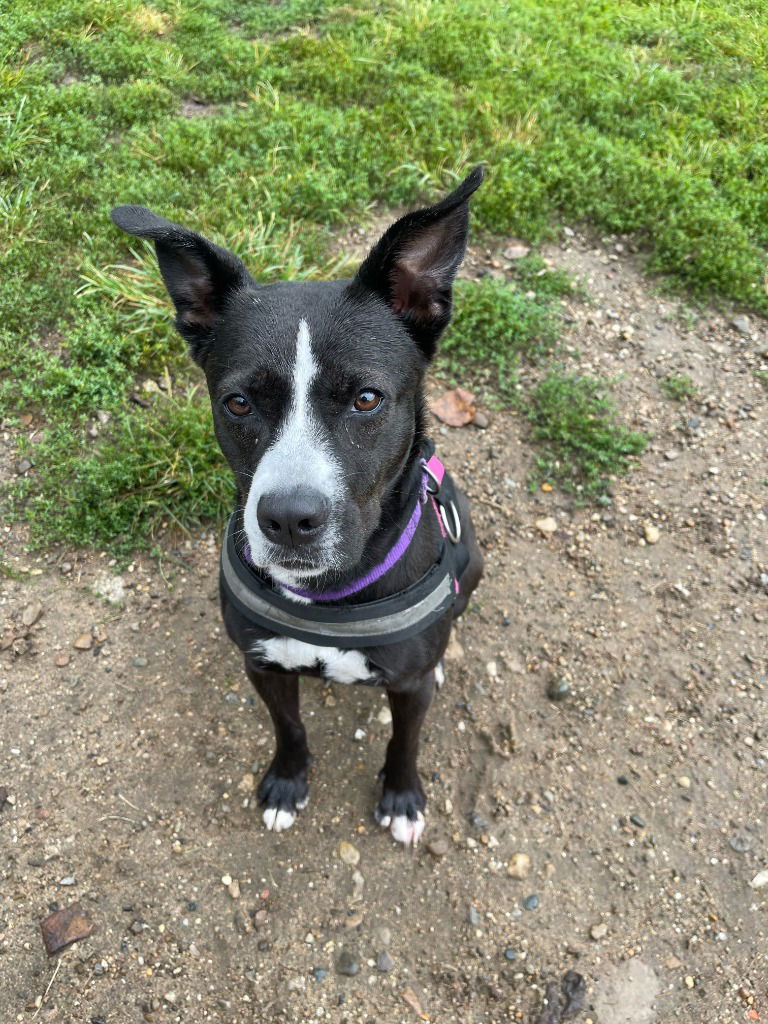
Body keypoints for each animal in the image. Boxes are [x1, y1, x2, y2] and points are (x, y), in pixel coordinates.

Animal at [111, 167, 483, 847]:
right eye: (237, 403)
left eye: (367, 398)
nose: (288, 519)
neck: (327, 597)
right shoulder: (263, 665)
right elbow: (288, 727)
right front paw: (286, 782)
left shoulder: (409, 686)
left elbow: (406, 740)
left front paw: (402, 798)